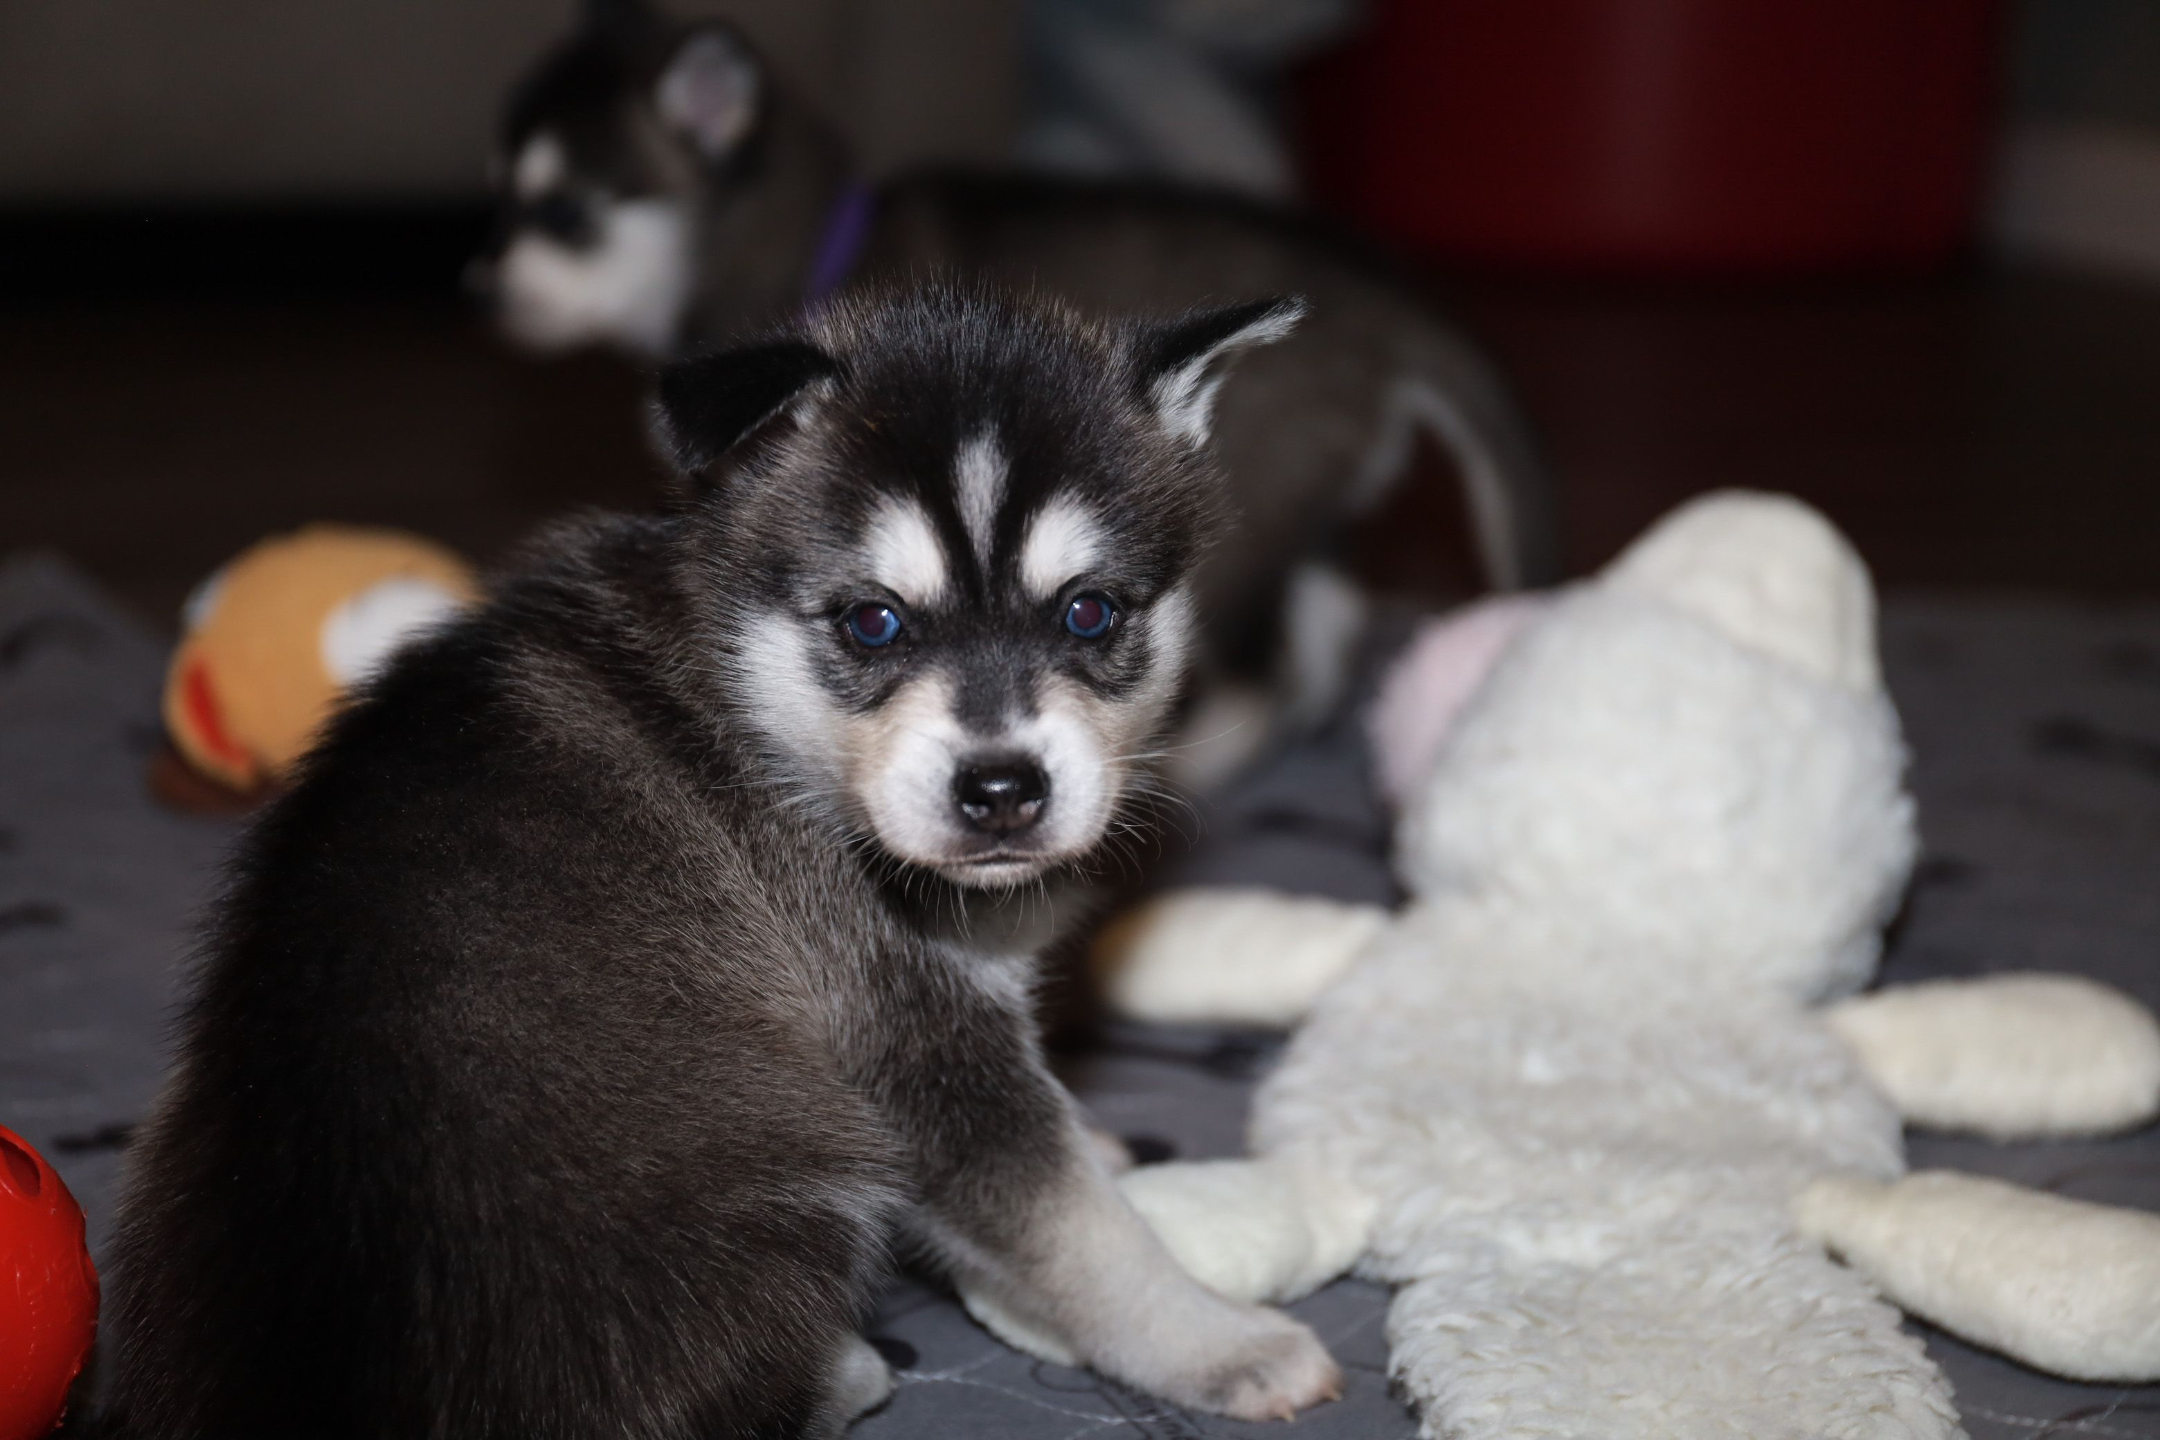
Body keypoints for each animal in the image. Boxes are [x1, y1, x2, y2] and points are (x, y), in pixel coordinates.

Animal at [98, 286, 1341, 1440]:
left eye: (1089, 613)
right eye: (874, 623)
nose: (1002, 790)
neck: (755, 699)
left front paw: (1100, 1141)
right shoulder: (910, 1045)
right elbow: (1073, 1230)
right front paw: (1221, 1344)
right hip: (799, 1166)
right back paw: (844, 1370)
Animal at [473, 0, 1561, 757]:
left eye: (565, 214)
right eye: (500, 199)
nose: (476, 285)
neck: (816, 244)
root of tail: (1385, 297)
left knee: (1260, 678)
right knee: (1327, 640)